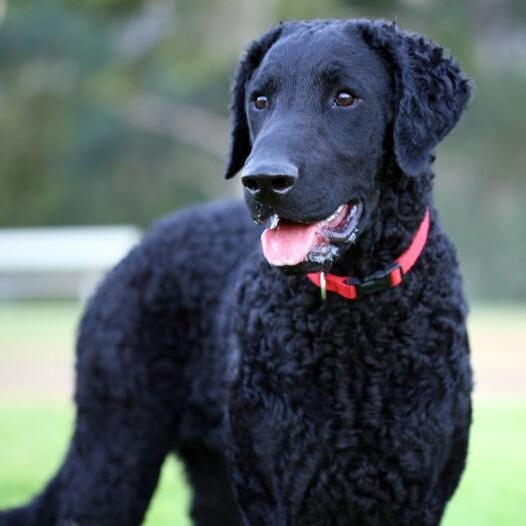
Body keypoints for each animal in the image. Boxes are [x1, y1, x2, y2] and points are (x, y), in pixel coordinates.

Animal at [0, 18, 476, 526]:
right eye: (260, 100)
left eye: (345, 97)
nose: (263, 181)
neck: (355, 329)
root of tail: (139, 247)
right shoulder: (273, 492)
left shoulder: (415, 495)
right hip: (114, 449)